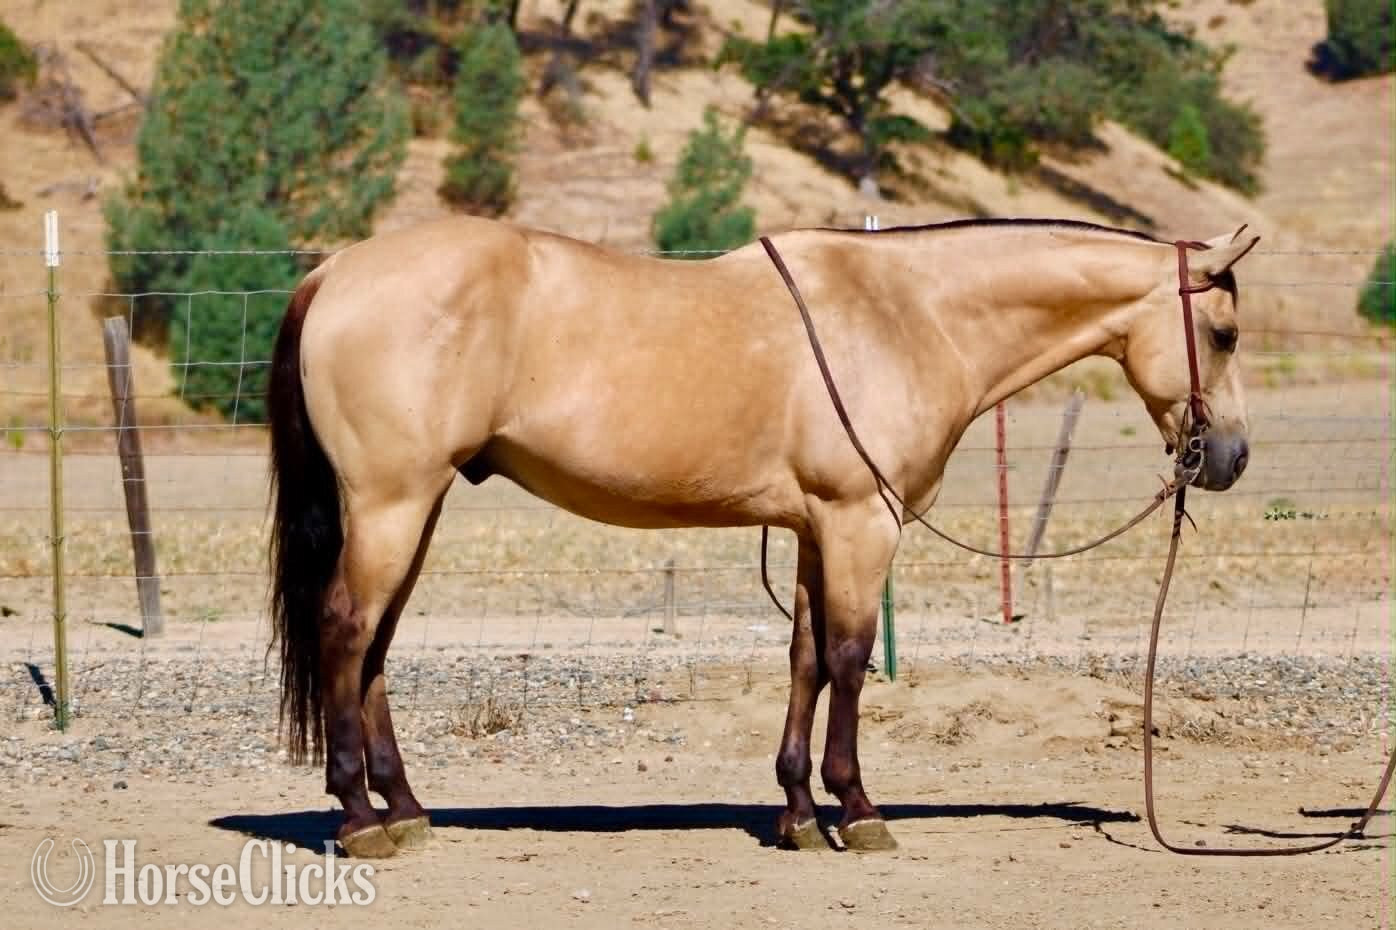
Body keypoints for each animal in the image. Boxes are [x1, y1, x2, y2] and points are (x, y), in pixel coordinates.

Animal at [266, 216, 1259, 858]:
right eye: (1223, 332)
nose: (1231, 457)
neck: (907, 313)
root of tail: (336, 270)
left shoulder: (818, 526)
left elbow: (807, 659)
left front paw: (797, 813)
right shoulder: (861, 522)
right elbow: (851, 660)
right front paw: (856, 809)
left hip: (414, 508)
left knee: (377, 646)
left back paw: (404, 807)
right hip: (392, 503)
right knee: (346, 631)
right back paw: (357, 817)